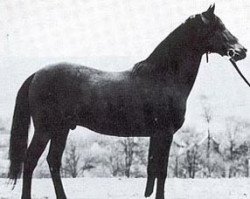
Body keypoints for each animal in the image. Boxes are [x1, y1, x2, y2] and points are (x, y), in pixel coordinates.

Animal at [7, 4, 246, 199]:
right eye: (219, 27)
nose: (241, 51)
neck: (163, 77)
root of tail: (37, 74)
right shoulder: (165, 133)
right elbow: (161, 172)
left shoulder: (156, 135)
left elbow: (153, 170)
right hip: (45, 129)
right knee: (30, 162)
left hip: (61, 129)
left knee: (53, 162)